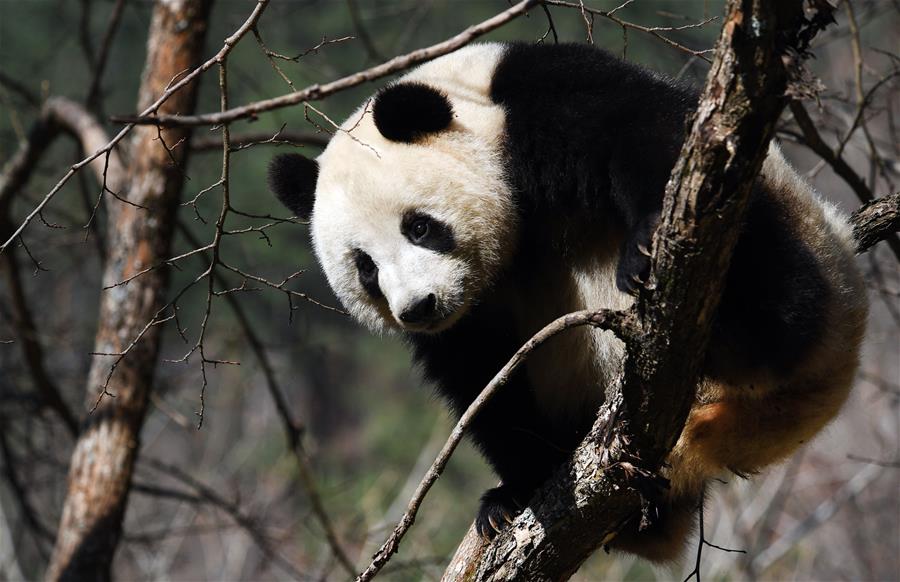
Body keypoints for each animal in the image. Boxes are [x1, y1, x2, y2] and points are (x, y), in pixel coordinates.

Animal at [267, 42, 868, 561]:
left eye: (419, 226)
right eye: (365, 268)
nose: (418, 307)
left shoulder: (544, 101)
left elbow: (652, 138)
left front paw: (646, 248)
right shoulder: (470, 318)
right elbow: (484, 379)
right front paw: (512, 493)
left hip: (805, 250)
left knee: (769, 270)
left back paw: (741, 332)